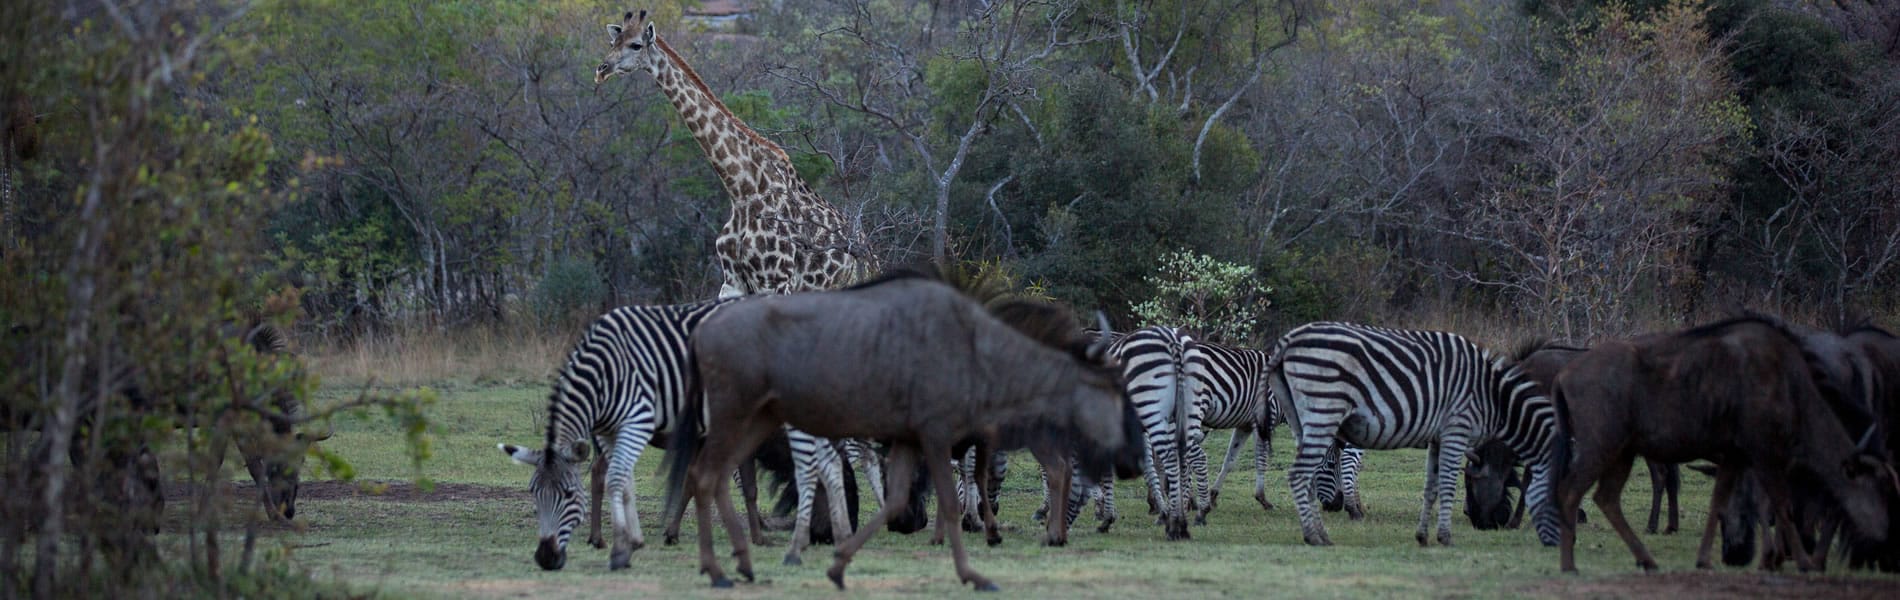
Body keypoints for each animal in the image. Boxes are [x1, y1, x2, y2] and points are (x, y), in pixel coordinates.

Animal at [497, 300, 870, 573]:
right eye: (854, 492)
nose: (546, 558)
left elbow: (702, 483)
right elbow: (735, 487)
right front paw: (754, 535)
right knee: (601, 472)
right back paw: (598, 537)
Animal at [592, 9, 874, 300]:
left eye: (636, 45)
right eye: (613, 42)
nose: (601, 70)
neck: (742, 190)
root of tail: (869, 250)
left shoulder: (776, 281)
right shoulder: (732, 283)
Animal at [1261, 322, 1558, 546]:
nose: (1486, 524)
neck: (1493, 397)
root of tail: (1289, 339)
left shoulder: (1439, 438)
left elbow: (1431, 488)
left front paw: (1423, 536)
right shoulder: (1456, 428)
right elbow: (1447, 485)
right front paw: (1445, 537)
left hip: (1304, 418)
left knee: (1309, 474)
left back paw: (1324, 529)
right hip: (1327, 408)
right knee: (1300, 474)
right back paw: (1315, 537)